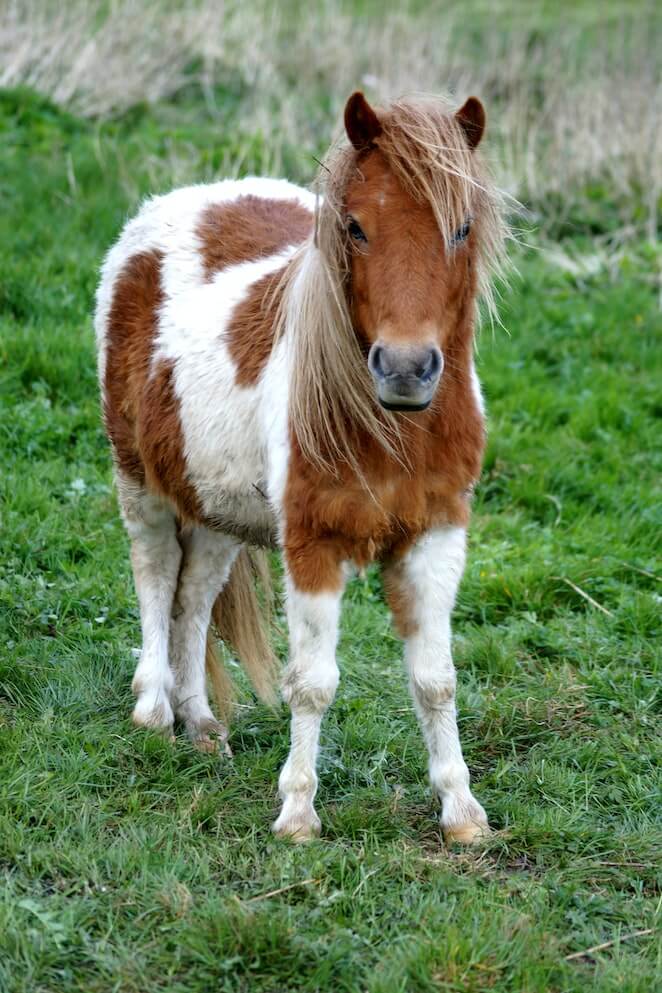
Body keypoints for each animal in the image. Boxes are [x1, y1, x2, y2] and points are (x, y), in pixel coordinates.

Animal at [94, 91, 507, 844]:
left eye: (461, 229)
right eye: (355, 228)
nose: (406, 369)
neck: (387, 429)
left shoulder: (436, 537)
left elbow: (435, 679)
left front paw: (463, 812)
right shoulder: (313, 543)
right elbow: (312, 682)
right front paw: (297, 814)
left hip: (216, 504)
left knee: (195, 596)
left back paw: (202, 724)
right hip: (139, 480)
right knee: (155, 575)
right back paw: (153, 710)